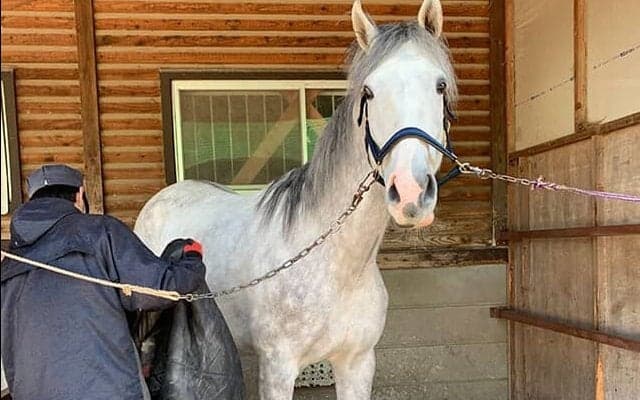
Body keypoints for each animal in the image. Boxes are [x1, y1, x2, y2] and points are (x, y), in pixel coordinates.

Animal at [134, 0, 457, 398]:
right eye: (368, 92)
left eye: (440, 86)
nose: (410, 192)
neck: (335, 266)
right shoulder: (278, 368)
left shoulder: (357, 364)